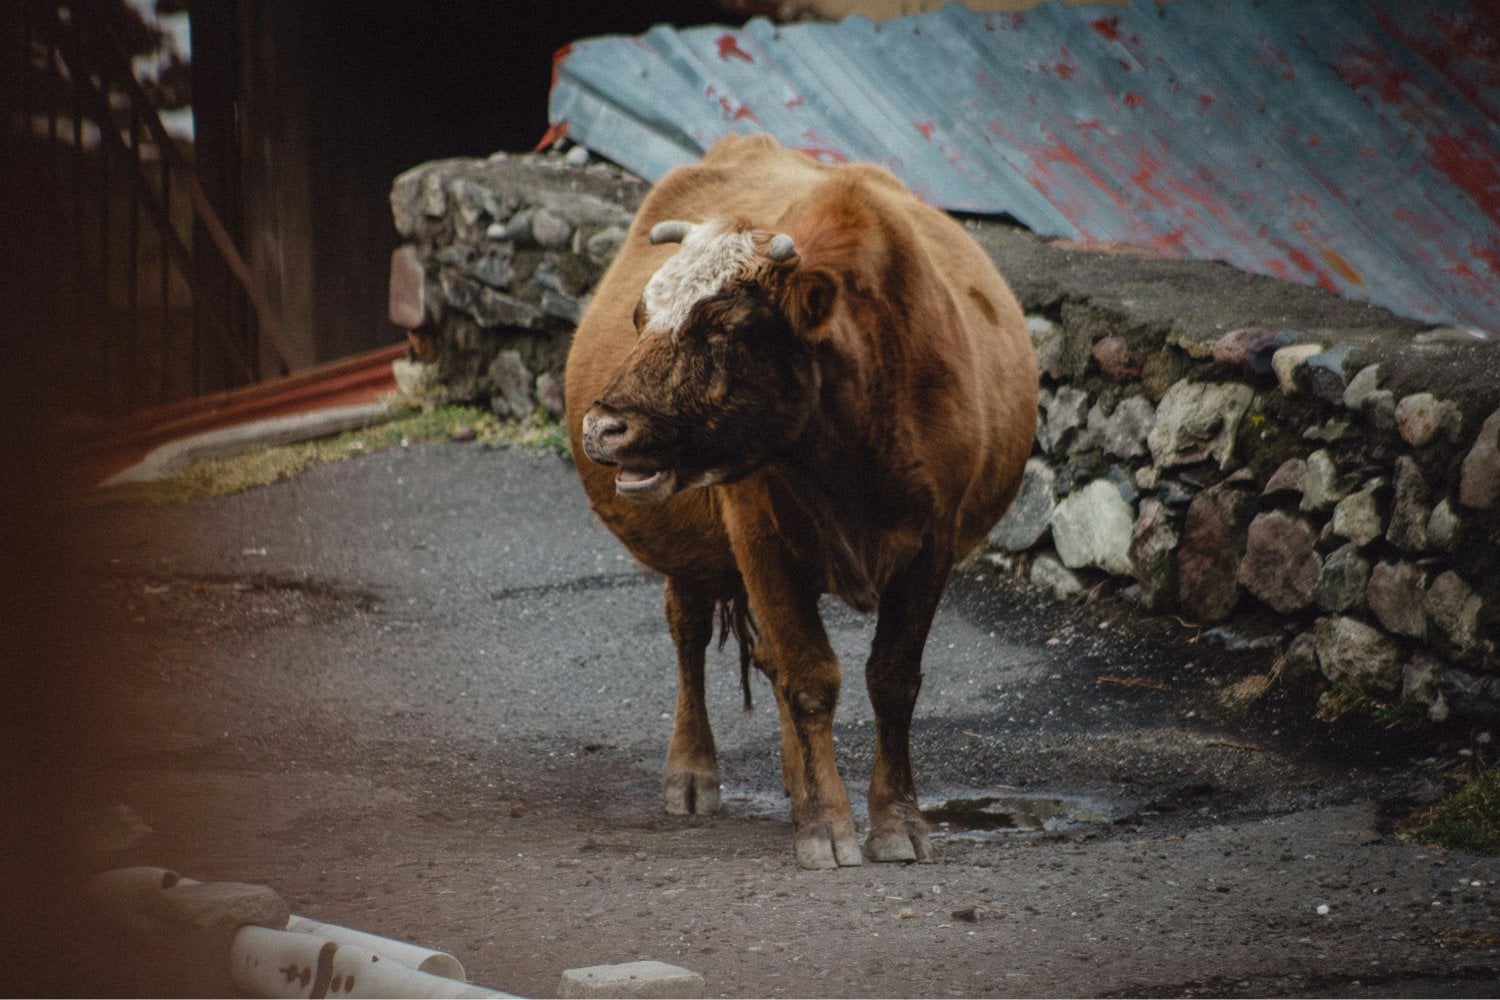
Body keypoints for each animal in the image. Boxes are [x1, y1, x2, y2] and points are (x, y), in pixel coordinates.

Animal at [564, 133, 1037, 869]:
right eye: (640, 317)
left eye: (725, 328)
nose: (604, 427)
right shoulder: (760, 540)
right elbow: (810, 678)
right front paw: (826, 827)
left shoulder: (933, 545)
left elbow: (892, 680)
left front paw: (897, 821)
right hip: (692, 553)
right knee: (690, 634)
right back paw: (694, 772)